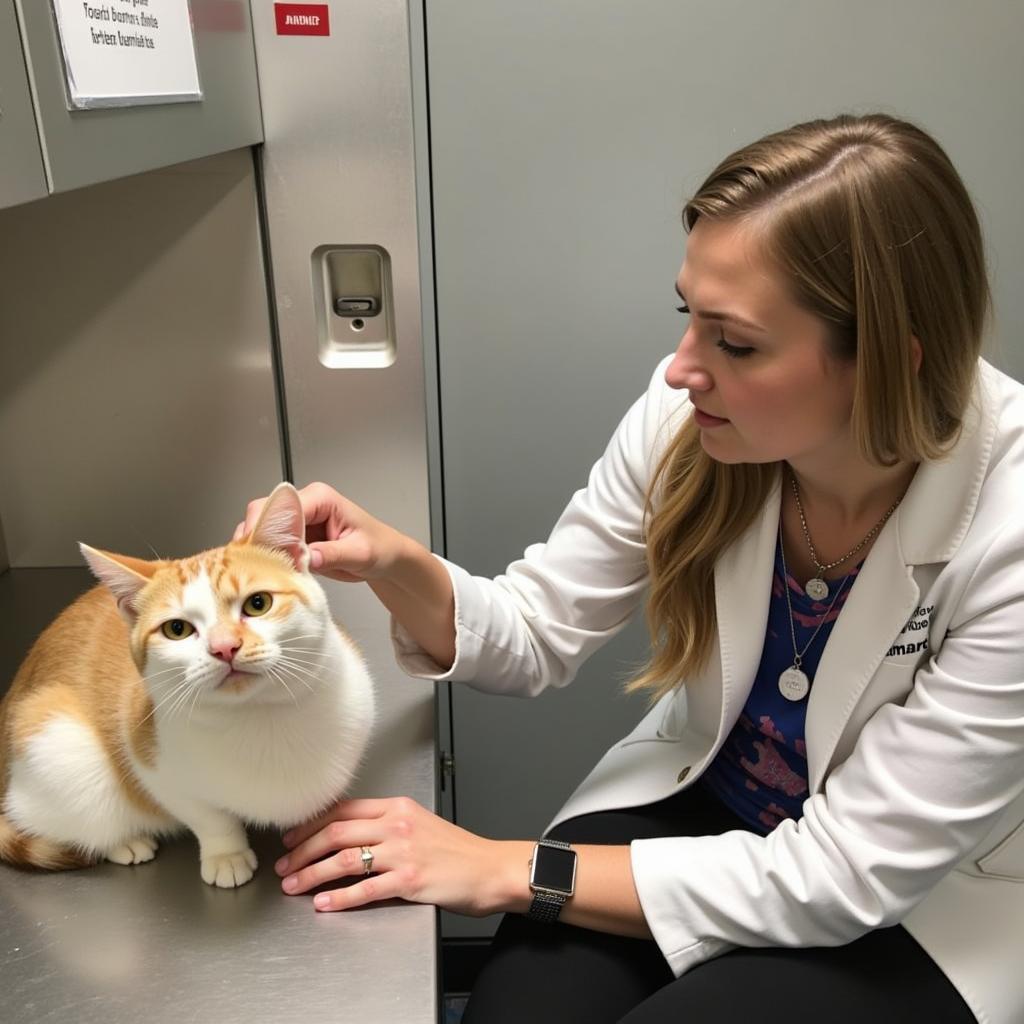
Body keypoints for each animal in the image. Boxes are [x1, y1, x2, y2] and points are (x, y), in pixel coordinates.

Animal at [0, 483, 376, 884]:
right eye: (177, 629)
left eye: (258, 604)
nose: (224, 647)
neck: (260, 717)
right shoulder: (153, 764)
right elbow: (208, 816)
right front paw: (226, 854)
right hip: (56, 743)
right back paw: (125, 842)